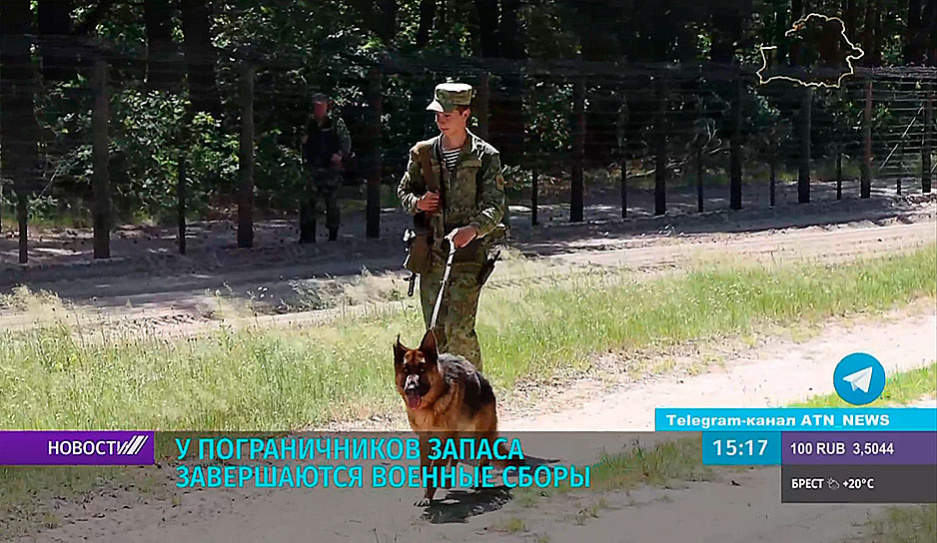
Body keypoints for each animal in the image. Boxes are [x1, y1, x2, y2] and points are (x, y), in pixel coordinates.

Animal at [392, 330, 516, 508]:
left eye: (422, 369)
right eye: (406, 370)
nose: (411, 389)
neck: (430, 406)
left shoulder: (443, 440)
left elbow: (435, 469)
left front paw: (427, 496)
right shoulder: (425, 440)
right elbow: (425, 468)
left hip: (478, 438)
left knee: (483, 460)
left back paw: (478, 482)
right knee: (456, 456)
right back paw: (449, 479)